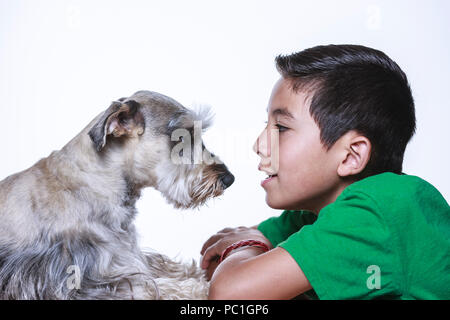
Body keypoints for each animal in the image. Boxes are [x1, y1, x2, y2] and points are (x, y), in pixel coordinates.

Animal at [0, 90, 236, 300]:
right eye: (182, 136)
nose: (229, 178)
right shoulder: (88, 278)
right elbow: (152, 287)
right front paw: (198, 287)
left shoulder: (128, 256)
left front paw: (193, 272)